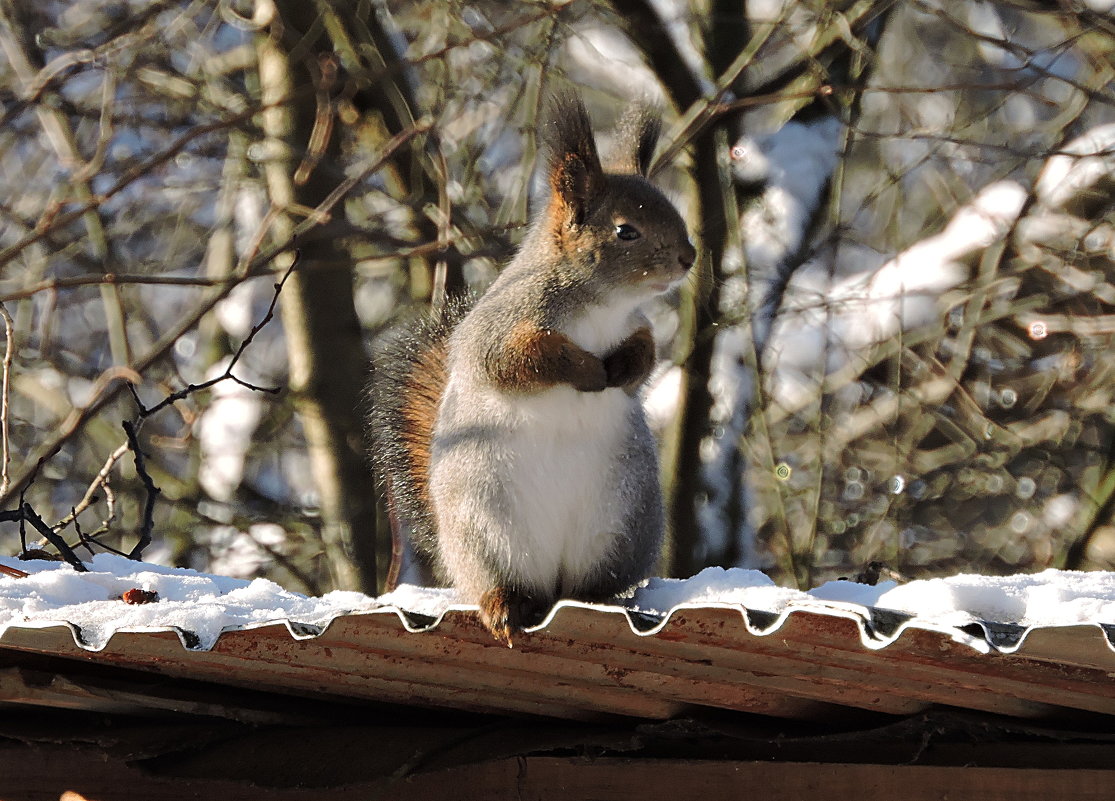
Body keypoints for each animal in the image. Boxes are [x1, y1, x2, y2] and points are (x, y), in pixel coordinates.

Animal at [370, 92, 691, 647]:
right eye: (626, 231)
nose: (688, 257)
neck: (600, 304)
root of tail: (553, 581)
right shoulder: (500, 329)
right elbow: (522, 360)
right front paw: (588, 370)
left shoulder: (637, 324)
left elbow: (646, 356)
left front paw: (620, 369)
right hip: (486, 529)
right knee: (505, 585)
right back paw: (503, 606)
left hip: (623, 527)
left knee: (590, 584)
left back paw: (598, 601)